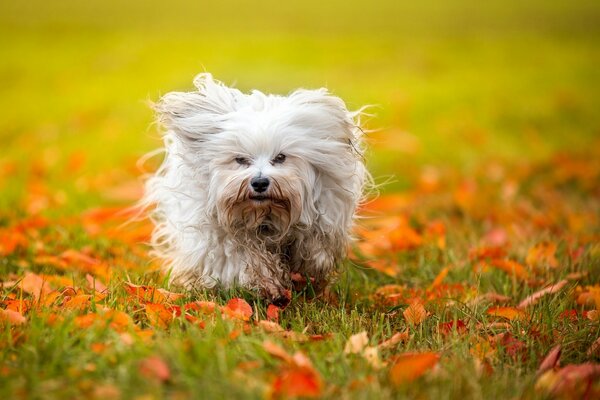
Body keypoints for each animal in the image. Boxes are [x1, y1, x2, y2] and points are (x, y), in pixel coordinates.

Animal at [143, 73, 368, 306]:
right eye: (240, 159)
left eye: (280, 157)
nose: (260, 183)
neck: (264, 216)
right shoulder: (222, 235)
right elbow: (243, 258)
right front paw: (268, 286)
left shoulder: (324, 217)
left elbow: (314, 252)